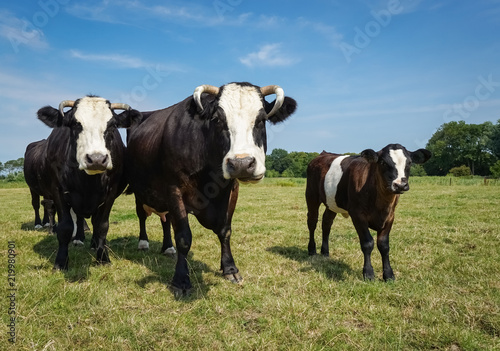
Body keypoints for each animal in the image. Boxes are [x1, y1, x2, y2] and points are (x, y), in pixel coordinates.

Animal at [35, 96, 141, 270]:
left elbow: (102, 225)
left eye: (112, 125)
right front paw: (61, 261)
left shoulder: (110, 194)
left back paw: (94, 244)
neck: (88, 183)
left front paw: (103, 257)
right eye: (75, 124)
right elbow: (65, 227)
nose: (97, 159)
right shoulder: (57, 191)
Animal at [127, 82, 296, 294]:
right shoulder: (174, 189)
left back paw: (167, 247)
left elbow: (225, 231)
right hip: (140, 191)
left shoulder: (232, 189)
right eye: (217, 119)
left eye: (261, 119)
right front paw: (181, 280)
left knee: (165, 219)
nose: (241, 163)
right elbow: (183, 237)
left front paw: (230, 269)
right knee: (142, 215)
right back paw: (143, 242)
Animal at [304, 144, 430, 282]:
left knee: (326, 223)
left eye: (409, 163)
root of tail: (323, 154)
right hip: (311, 195)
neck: (381, 204)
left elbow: (384, 245)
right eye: (383, 162)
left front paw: (388, 274)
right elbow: (367, 243)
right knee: (312, 222)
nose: (400, 185)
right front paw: (368, 273)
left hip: (332, 203)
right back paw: (312, 249)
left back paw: (325, 251)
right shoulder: (358, 215)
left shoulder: (390, 216)